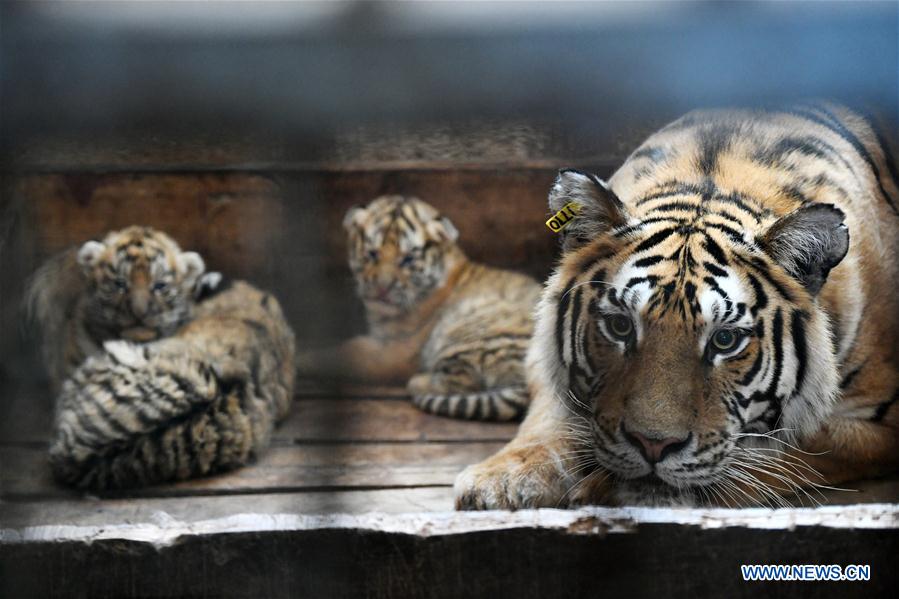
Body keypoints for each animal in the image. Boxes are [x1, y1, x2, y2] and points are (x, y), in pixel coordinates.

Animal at [458, 105, 899, 508]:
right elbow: (550, 413)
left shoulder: (877, 425)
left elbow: (790, 450)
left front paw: (605, 487)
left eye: (725, 340)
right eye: (620, 327)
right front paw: (501, 479)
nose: (653, 445)